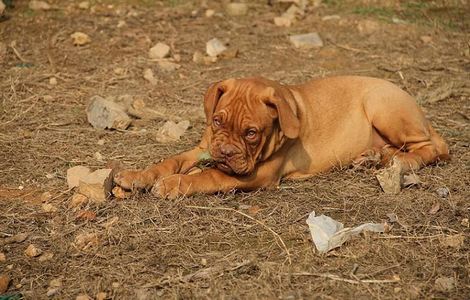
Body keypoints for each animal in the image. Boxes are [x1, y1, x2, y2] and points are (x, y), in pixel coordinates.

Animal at [112, 75, 450, 198]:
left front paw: (173, 185)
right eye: (217, 121)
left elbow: (208, 177)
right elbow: (169, 161)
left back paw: (398, 162)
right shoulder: (202, 148)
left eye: (251, 133)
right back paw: (373, 156)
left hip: (383, 106)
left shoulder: (256, 175)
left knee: (430, 148)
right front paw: (137, 176)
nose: (226, 153)